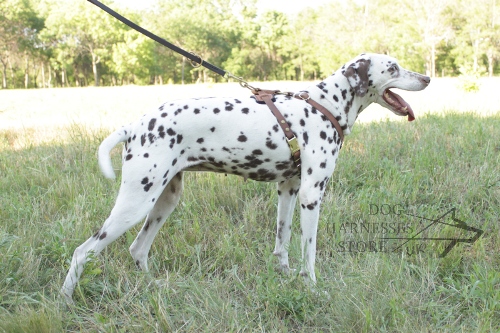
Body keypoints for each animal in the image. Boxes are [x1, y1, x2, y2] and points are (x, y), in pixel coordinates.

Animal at [61, 53, 430, 300]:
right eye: (393, 67)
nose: (427, 79)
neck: (325, 105)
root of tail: (134, 126)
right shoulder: (312, 196)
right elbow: (309, 251)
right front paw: (311, 286)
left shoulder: (289, 190)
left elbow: (282, 242)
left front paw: (284, 277)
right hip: (135, 204)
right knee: (83, 252)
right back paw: (65, 301)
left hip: (164, 201)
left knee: (138, 250)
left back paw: (155, 289)